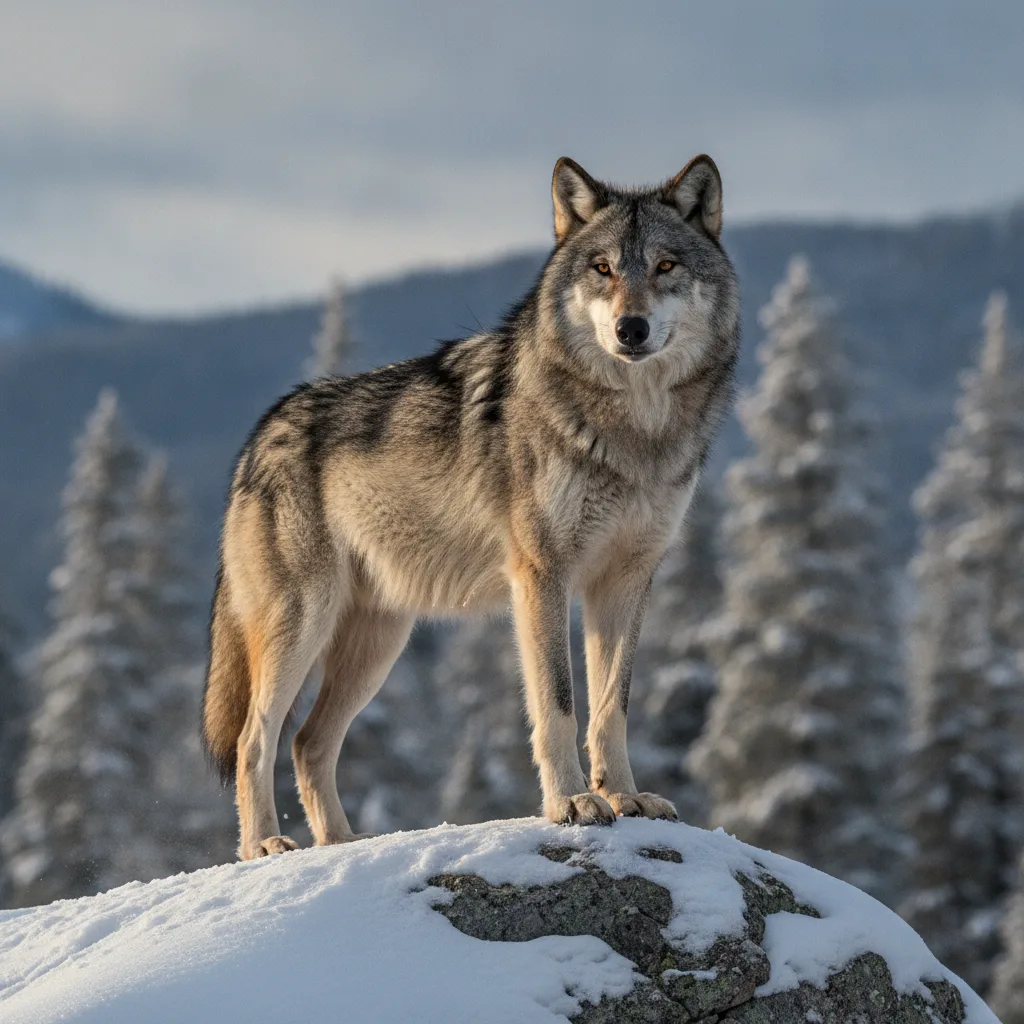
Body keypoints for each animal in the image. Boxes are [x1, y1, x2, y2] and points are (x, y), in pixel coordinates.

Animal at [202, 155, 740, 859]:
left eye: (666, 265)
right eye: (602, 269)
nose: (631, 329)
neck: (634, 431)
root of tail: (258, 436)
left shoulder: (625, 582)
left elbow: (610, 707)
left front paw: (626, 797)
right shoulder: (541, 577)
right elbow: (559, 704)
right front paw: (571, 803)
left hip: (378, 644)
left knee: (307, 742)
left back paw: (345, 844)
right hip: (303, 624)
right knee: (253, 739)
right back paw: (265, 845)